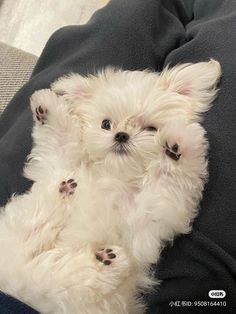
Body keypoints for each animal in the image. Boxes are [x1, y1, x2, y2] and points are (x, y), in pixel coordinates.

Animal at [0, 60, 221, 312]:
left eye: (151, 129)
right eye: (106, 124)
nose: (121, 135)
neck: (115, 175)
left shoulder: (150, 217)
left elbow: (169, 178)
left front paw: (178, 145)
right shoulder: (58, 163)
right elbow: (60, 139)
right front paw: (47, 106)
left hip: (52, 285)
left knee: (70, 273)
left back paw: (105, 259)